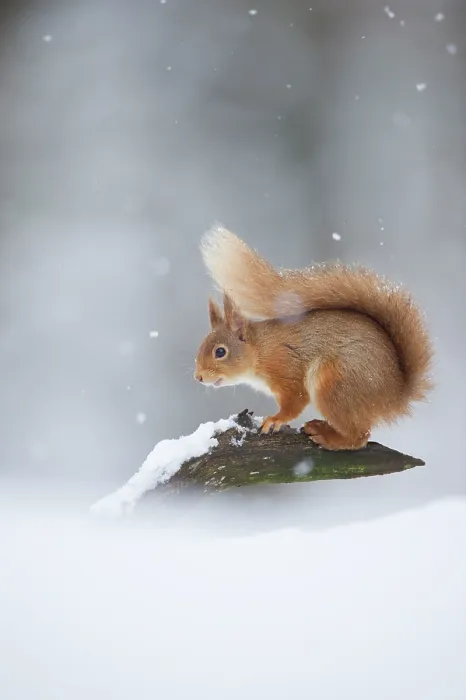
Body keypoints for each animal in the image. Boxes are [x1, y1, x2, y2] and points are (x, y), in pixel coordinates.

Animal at [194, 225, 434, 450]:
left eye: (220, 352)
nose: (198, 377)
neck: (260, 349)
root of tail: (395, 395)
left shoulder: (286, 369)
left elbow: (296, 400)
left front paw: (275, 419)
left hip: (336, 383)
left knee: (359, 436)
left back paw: (326, 436)